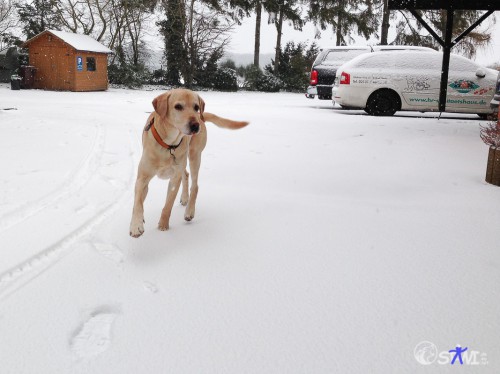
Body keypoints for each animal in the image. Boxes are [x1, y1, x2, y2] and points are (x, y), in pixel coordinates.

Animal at [129, 89, 246, 238]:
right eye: (178, 106)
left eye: (196, 107)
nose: (195, 125)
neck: (169, 145)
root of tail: (202, 118)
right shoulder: (142, 178)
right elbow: (138, 202)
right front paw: (136, 225)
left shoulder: (174, 179)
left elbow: (168, 205)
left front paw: (163, 226)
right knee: (186, 174)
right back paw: (185, 198)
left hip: (194, 155)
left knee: (195, 185)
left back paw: (189, 210)